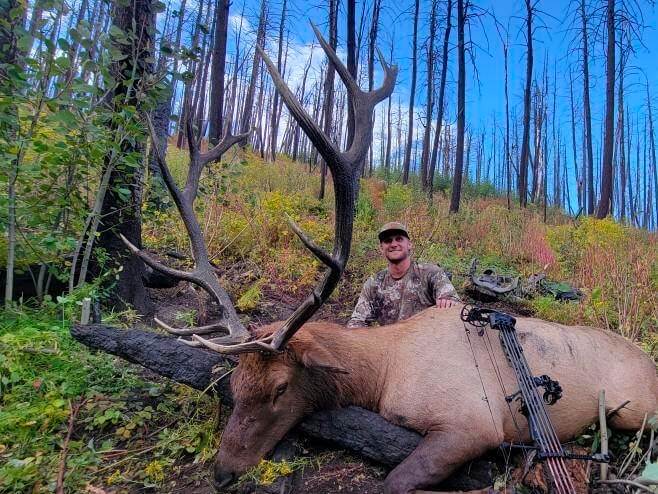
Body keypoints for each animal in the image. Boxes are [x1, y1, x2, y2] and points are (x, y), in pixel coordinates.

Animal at [122, 24, 658, 494]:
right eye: (235, 386)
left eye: (279, 388)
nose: (223, 473)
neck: (381, 374)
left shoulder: (474, 422)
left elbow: (397, 480)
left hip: (636, 405)